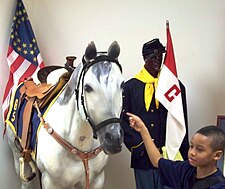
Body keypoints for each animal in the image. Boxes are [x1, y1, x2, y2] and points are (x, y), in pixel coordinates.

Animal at [5, 41, 124, 189]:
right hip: (18, 156)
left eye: (122, 85)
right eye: (87, 87)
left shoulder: (96, 180)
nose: (114, 139)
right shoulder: (51, 182)